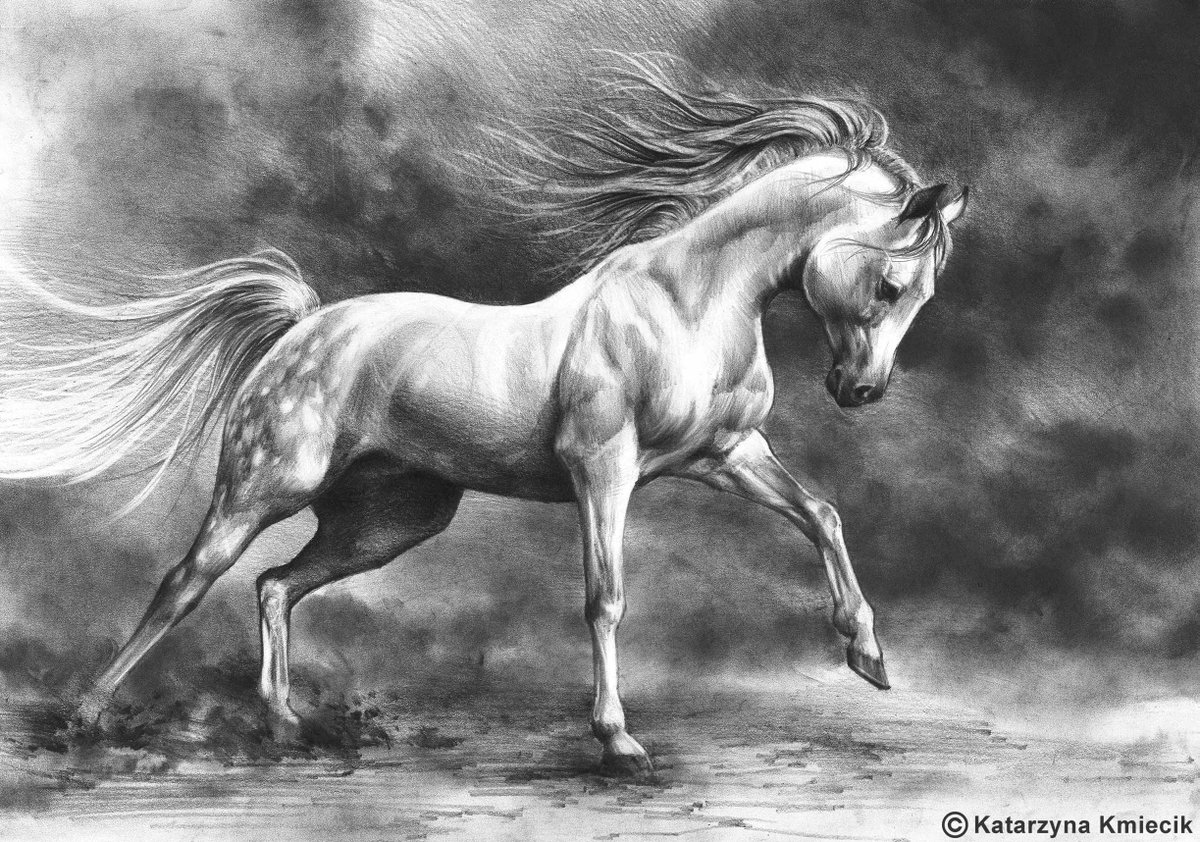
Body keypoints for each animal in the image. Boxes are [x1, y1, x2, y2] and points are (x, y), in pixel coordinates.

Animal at [0, 65, 967, 775]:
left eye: (924, 294)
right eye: (891, 284)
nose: (859, 391)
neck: (686, 305)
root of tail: (306, 326)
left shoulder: (726, 455)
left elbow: (823, 515)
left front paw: (869, 657)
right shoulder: (603, 471)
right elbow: (606, 598)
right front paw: (618, 740)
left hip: (390, 522)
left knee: (274, 586)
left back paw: (282, 723)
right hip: (263, 485)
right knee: (184, 583)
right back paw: (88, 715)